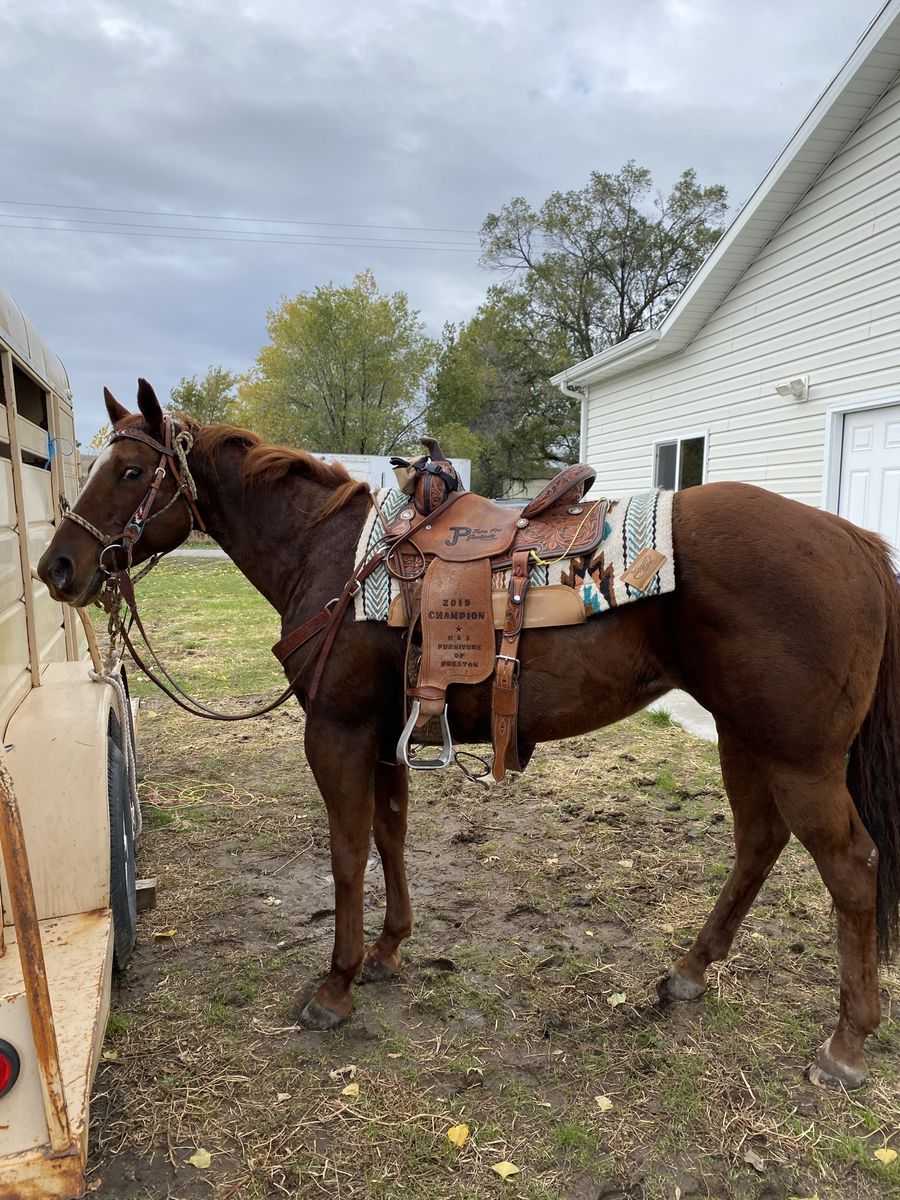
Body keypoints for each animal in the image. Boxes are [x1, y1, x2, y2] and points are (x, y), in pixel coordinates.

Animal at [38, 379, 900, 1090]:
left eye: (128, 472)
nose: (57, 568)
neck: (332, 559)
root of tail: (856, 542)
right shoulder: (386, 733)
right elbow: (389, 836)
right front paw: (388, 950)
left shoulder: (338, 733)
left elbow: (346, 855)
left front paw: (336, 984)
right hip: (746, 738)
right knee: (759, 842)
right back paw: (688, 972)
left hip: (799, 756)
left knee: (852, 868)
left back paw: (846, 1044)